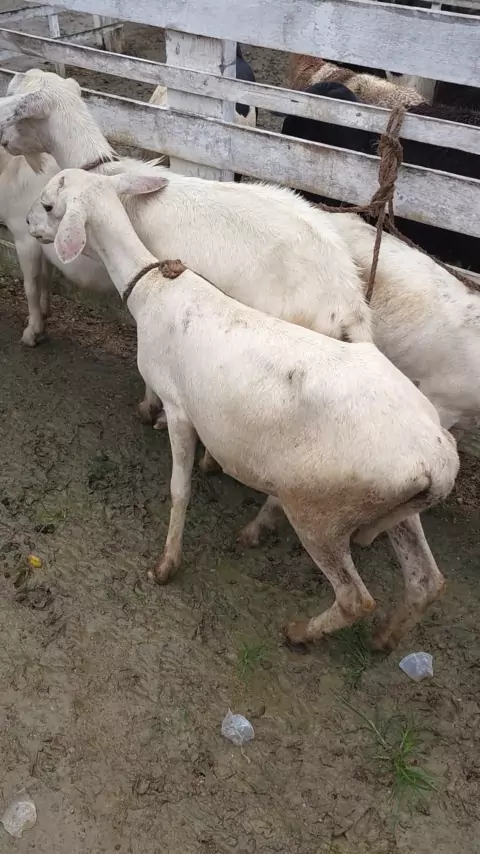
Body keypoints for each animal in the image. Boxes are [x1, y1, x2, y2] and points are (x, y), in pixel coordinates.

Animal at [0, 144, 113, 345]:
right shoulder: (43, 241)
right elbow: (46, 276)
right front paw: (43, 314)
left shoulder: (26, 240)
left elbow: (31, 285)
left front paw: (33, 332)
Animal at [26, 166, 460, 650]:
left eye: (48, 205)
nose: (27, 225)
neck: (153, 289)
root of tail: (442, 462)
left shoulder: (180, 409)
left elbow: (180, 489)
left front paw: (166, 564)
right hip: (396, 506)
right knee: (426, 580)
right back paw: (384, 639)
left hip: (322, 512)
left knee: (355, 599)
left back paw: (298, 631)